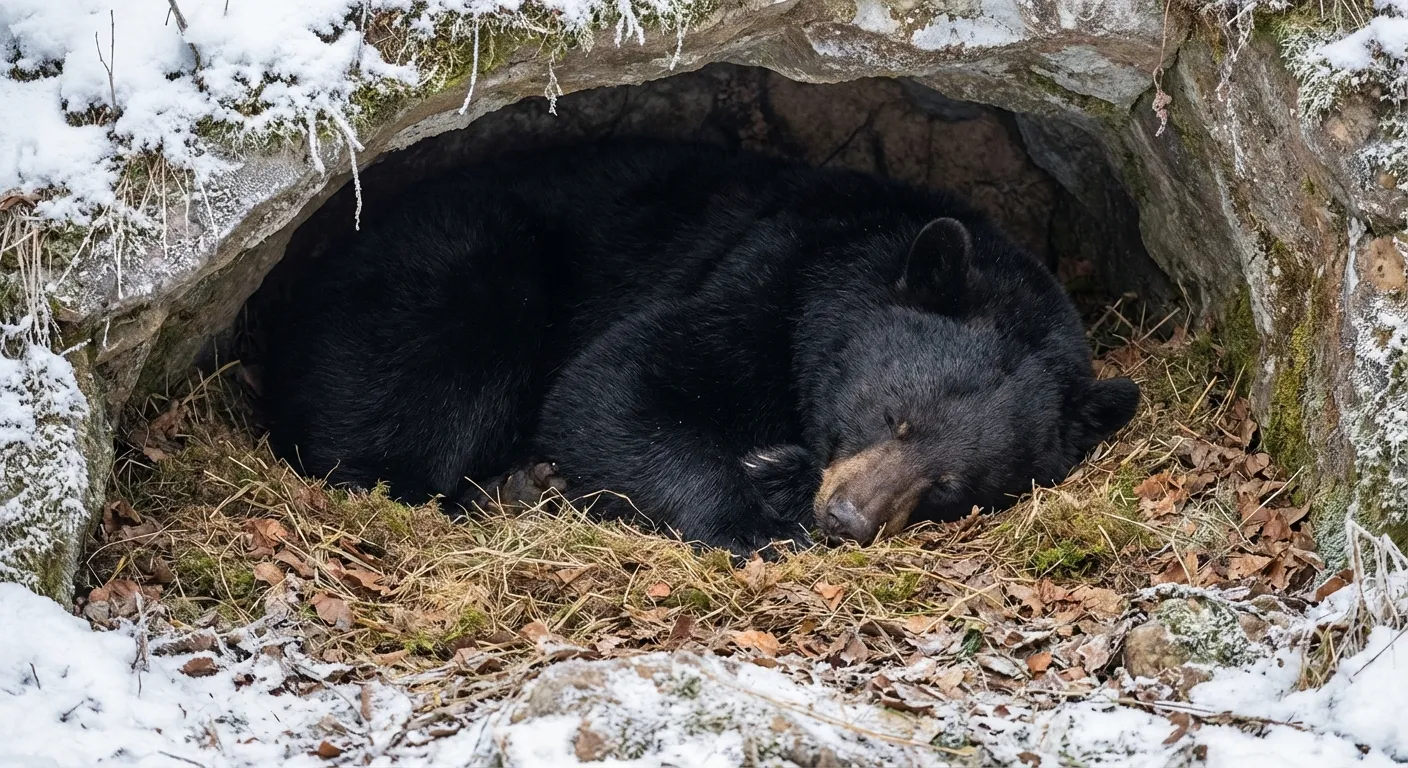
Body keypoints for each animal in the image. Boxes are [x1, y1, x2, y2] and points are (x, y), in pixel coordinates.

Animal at [260, 138, 1139, 556]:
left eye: (956, 486)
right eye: (893, 413)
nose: (848, 517)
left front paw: (778, 477)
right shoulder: (763, 278)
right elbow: (614, 385)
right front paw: (757, 523)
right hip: (443, 281)